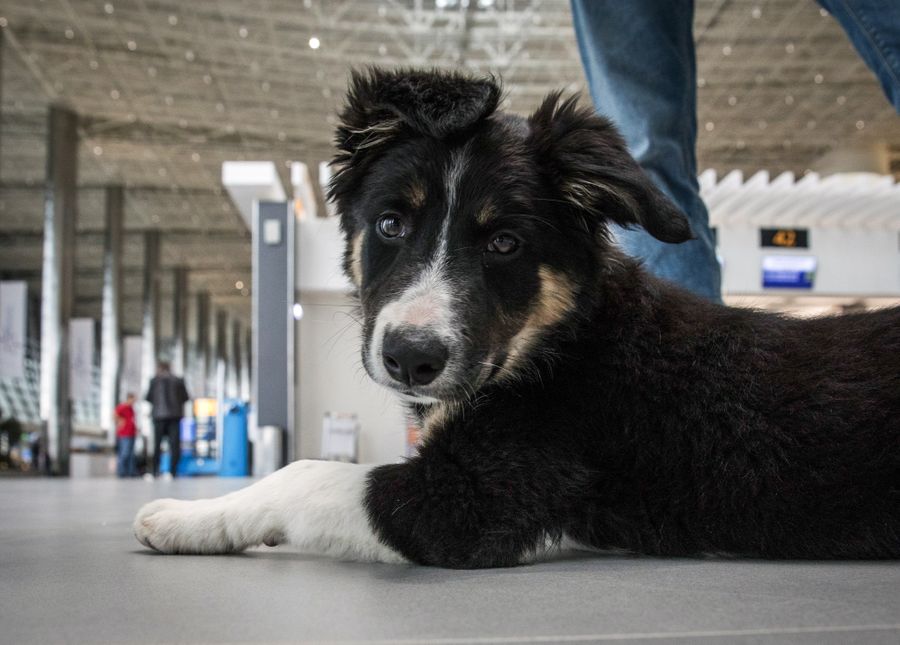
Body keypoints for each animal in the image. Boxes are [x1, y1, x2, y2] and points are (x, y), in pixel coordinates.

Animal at [135, 68, 900, 568]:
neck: (562, 340)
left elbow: (302, 473)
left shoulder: (472, 499)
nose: (411, 357)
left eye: (504, 242)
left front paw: (182, 517)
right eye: (390, 223)